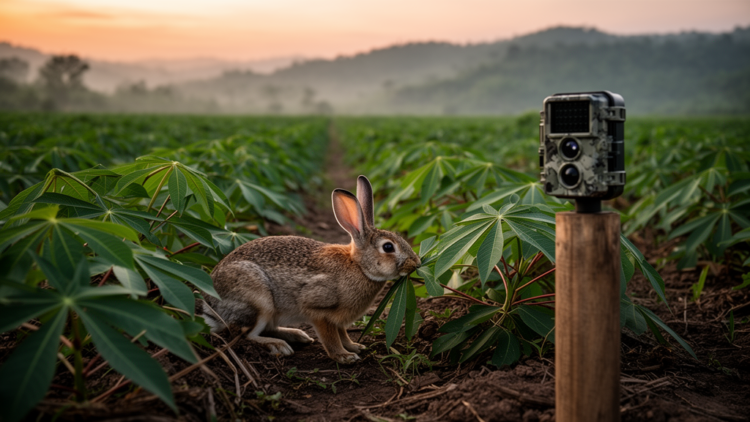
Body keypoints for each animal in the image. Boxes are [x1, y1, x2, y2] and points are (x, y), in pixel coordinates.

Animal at [202, 175, 421, 363]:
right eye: (388, 247)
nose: (416, 263)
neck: (357, 266)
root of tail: (211, 305)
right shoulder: (319, 310)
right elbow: (331, 337)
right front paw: (344, 356)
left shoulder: (338, 320)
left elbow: (343, 334)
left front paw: (355, 347)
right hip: (258, 300)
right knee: (244, 334)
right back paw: (279, 346)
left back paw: (297, 336)